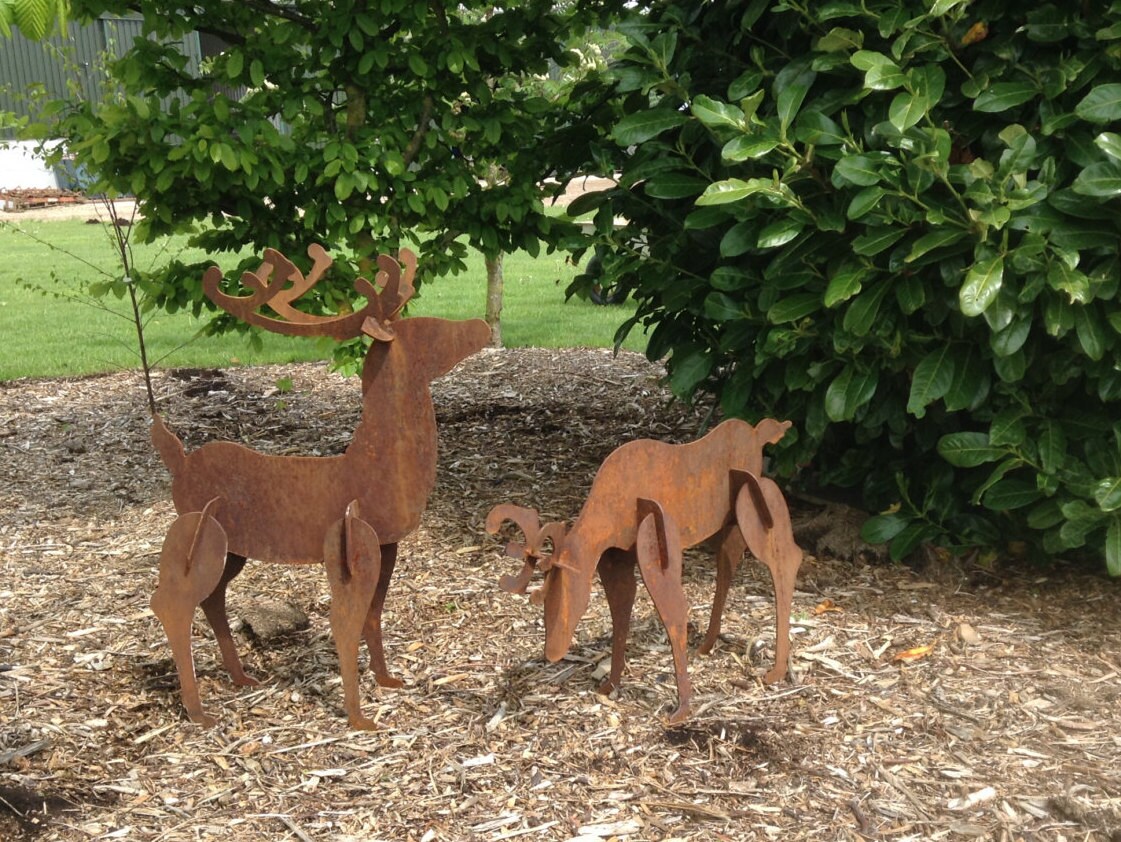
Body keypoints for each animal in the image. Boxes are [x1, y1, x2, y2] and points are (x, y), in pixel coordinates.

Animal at [149, 244, 490, 729]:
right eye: (428, 328)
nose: (482, 326)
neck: (375, 466)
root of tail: (178, 460)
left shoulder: (386, 544)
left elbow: (373, 617)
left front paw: (387, 681)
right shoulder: (350, 542)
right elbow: (344, 625)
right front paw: (359, 719)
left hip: (232, 549)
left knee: (211, 601)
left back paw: (241, 678)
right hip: (197, 532)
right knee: (170, 603)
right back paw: (200, 712)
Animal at [486, 418, 802, 723]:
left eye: (561, 595)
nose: (552, 651)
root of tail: (758, 434)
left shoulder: (654, 540)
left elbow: (675, 614)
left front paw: (681, 710)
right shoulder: (617, 558)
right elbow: (621, 611)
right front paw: (610, 685)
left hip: (752, 501)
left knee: (787, 559)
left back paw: (776, 670)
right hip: (728, 523)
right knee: (728, 566)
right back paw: (707, 646)